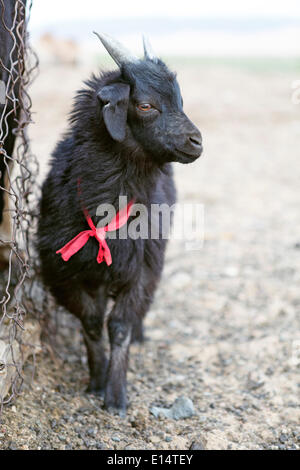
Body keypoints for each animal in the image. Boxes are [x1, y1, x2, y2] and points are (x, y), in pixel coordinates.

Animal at [37, 34, 202, 414]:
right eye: (145, 105)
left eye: (180, 100)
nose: (196, 142)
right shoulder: (63, 270)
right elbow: (92, 322)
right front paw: (97, 378)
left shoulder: (142, 268)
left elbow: (120, 327)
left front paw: (116, 395)